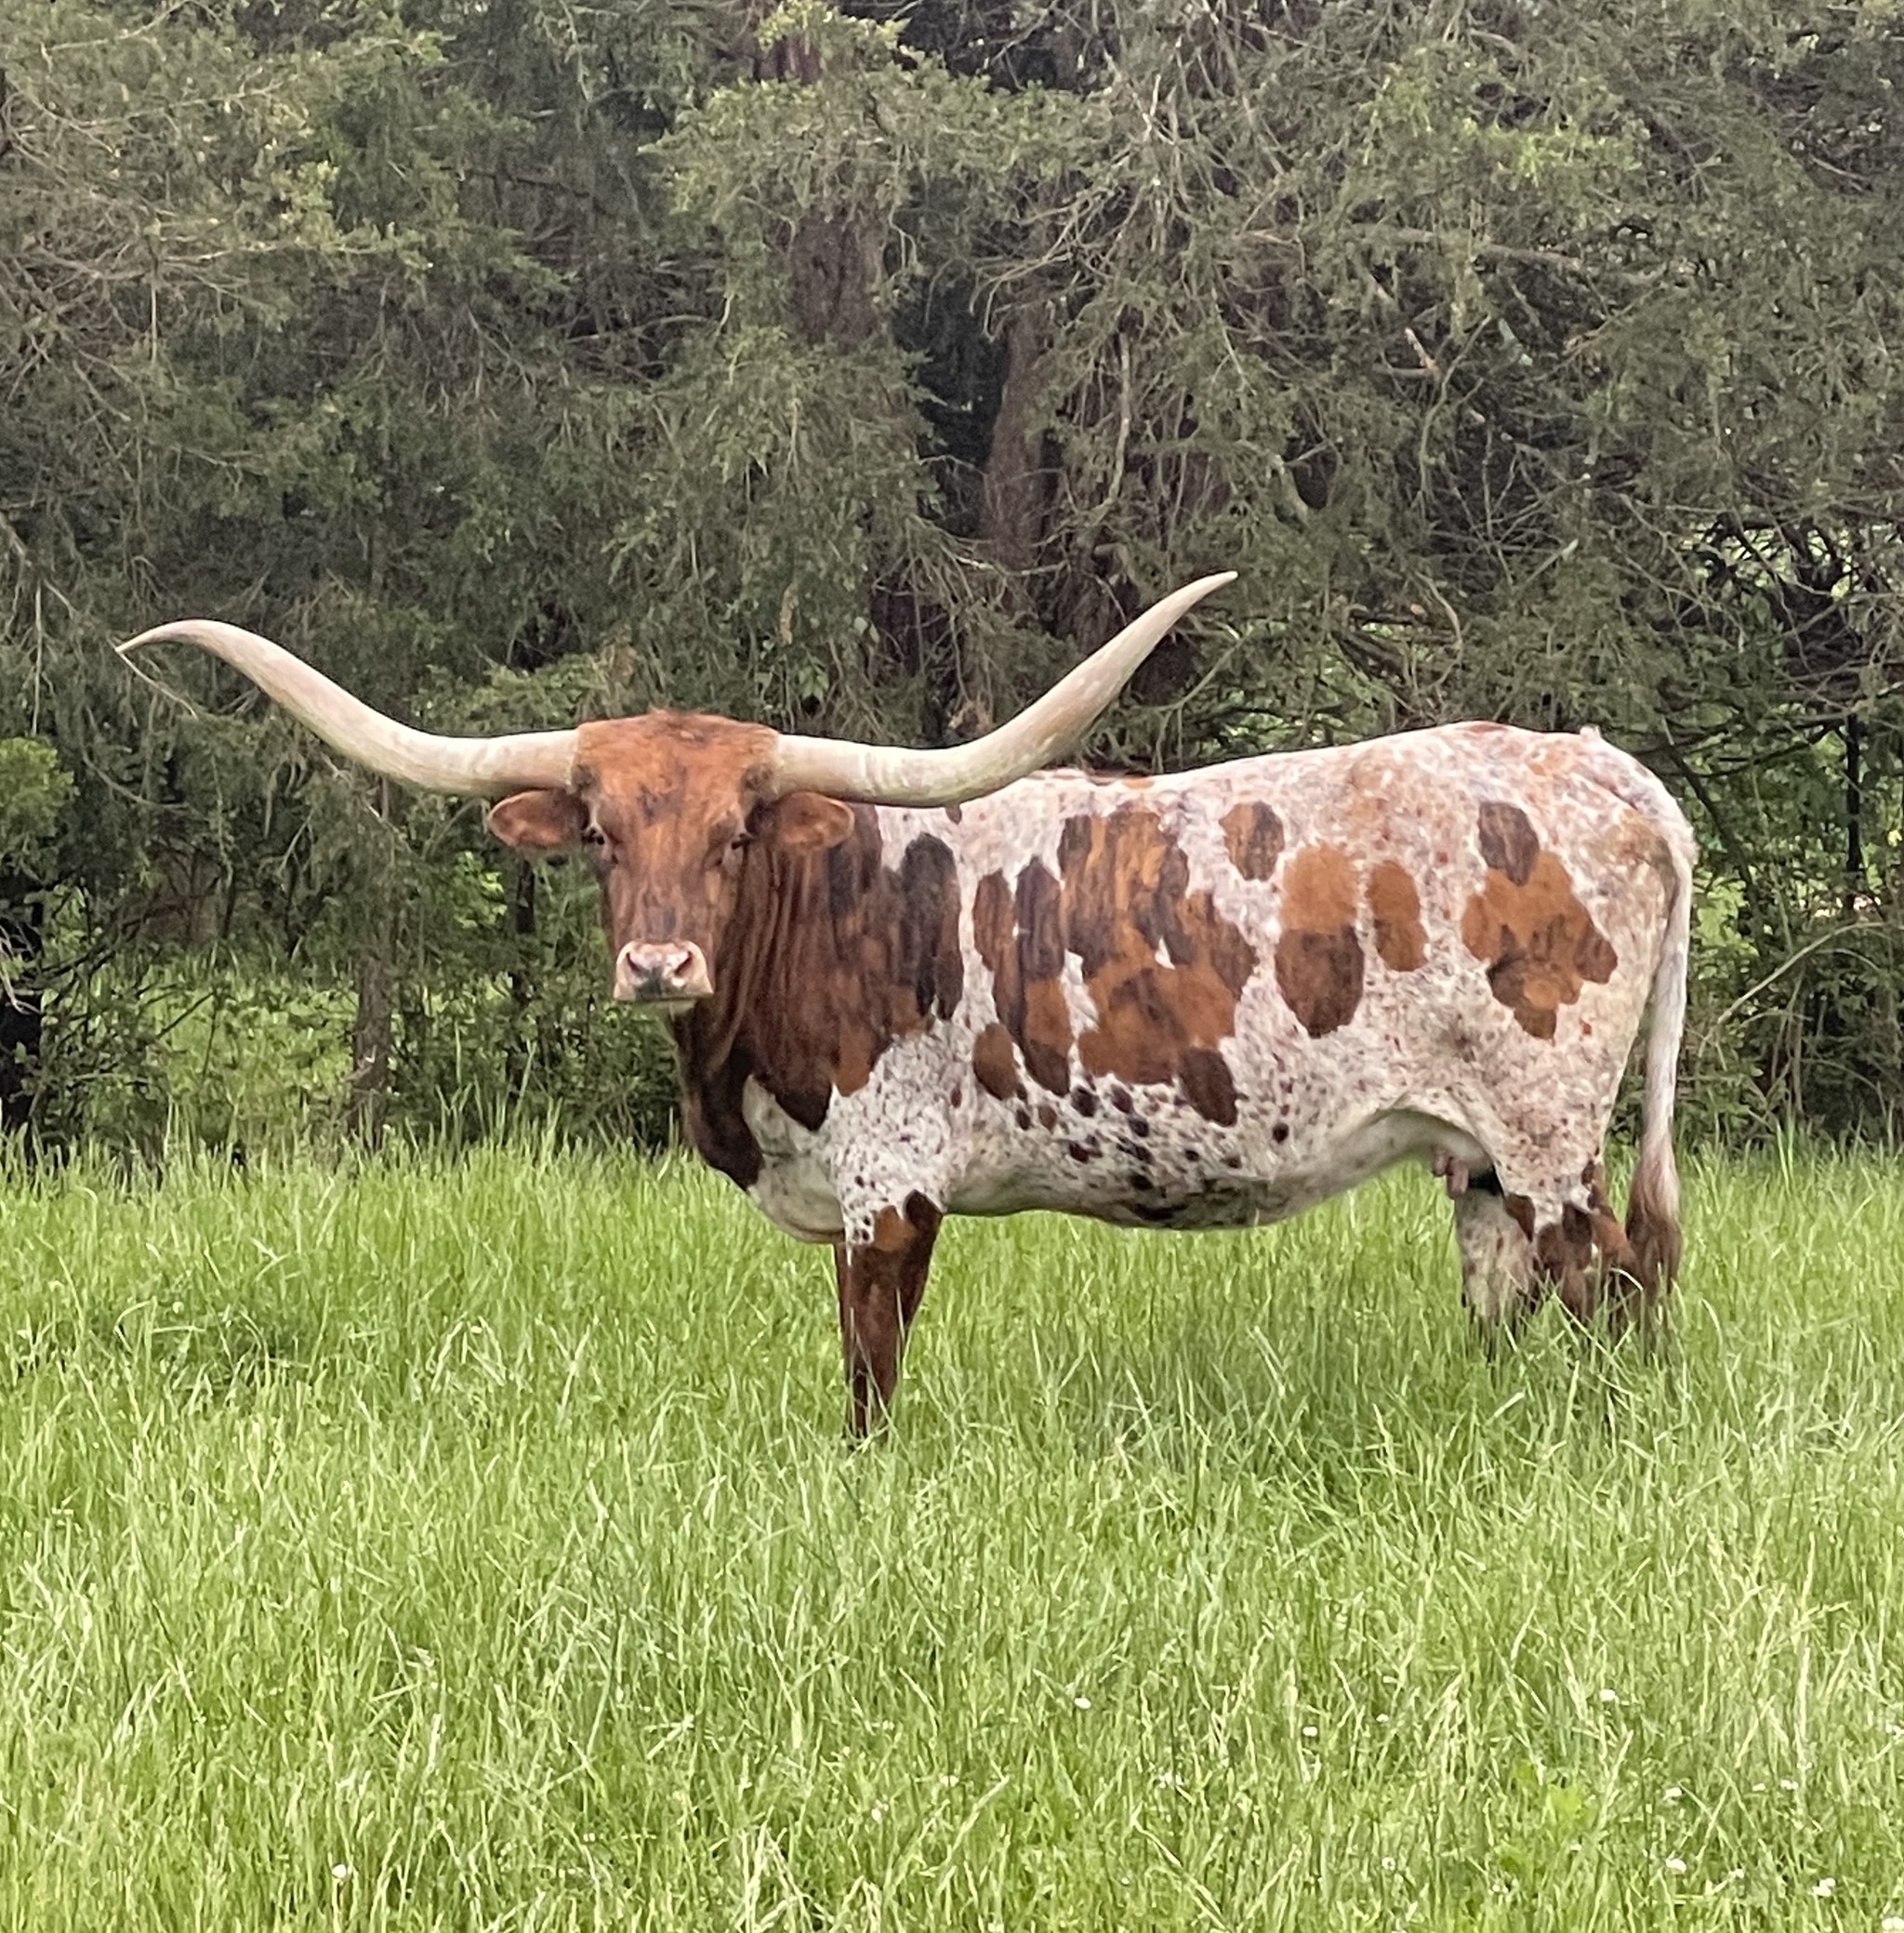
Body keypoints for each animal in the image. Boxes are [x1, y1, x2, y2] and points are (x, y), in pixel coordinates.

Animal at [123, 576, 1695, 1434]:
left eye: (735, 836)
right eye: (605, 834)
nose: (658, 964)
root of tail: (1611, 769)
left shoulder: (890, 1180)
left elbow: (869, 1363)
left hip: (1549, 1128)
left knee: (1612, 1281)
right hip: (1479, 1153)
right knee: (1526, 1285)